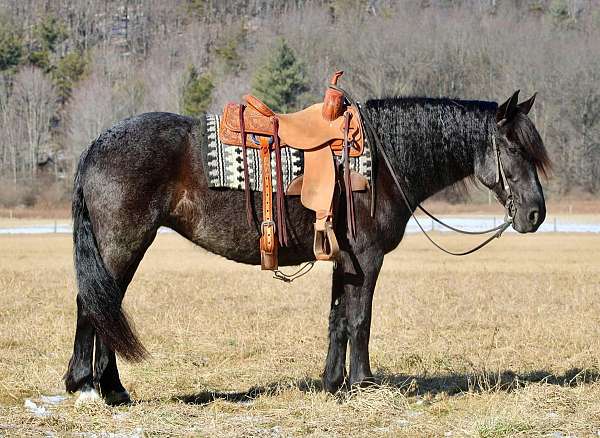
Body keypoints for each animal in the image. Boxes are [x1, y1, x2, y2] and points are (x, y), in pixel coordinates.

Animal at [64, 89, 548, 404]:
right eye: (511, 147)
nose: (535, 214)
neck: (383, 162)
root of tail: (96, 145)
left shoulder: (343, 259)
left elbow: (337, 319)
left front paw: (332, 383)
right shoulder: (367, 259)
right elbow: (360, 319)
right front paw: (363, 382)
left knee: (101, 305)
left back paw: (103, 386)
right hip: (123, 243)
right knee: (95, 305)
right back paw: (94, 384)